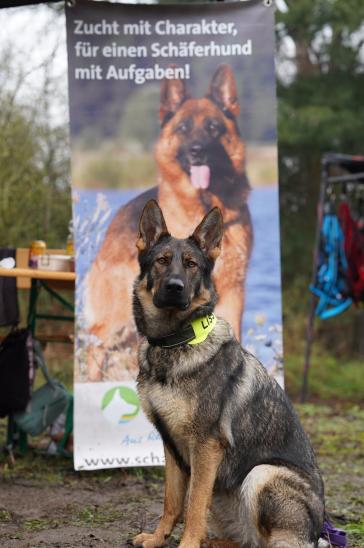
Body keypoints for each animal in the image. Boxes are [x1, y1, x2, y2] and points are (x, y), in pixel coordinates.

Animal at [84, 64, 252, 382]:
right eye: (183, 128)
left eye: (213, 128)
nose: (197, 150)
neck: (201, 203)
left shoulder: (234, 294)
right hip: (116, 319)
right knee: (94, 342)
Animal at [132, 202, 326, 548]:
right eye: (162, 261)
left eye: (192, 265)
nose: (175, 288)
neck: (175, 341)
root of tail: (315, 535)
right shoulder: (171, 447)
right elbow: (172, 502)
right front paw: (157, 538)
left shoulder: (206, 447)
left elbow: (194, 505)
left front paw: (187, 544)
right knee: (248, 541)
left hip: (261, 474)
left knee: (264, 542)